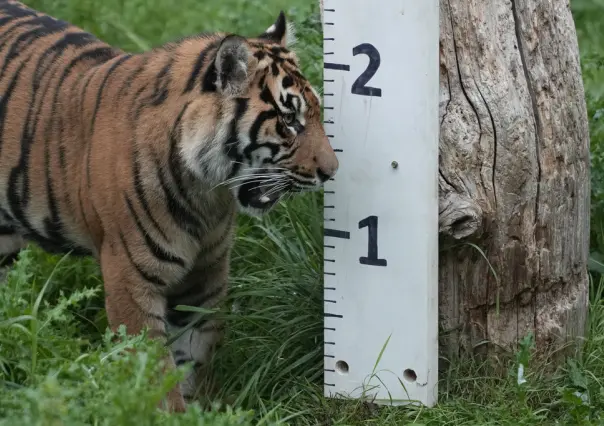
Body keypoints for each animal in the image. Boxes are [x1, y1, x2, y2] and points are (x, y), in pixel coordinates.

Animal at [0, 0, 338, 412]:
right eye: (289, 121)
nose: (332, 171)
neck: (205, 194)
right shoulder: (130, 280)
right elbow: (155, 372)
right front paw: (169, 413)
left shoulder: (205, 277)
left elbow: (195, 358)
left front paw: (201, 411)